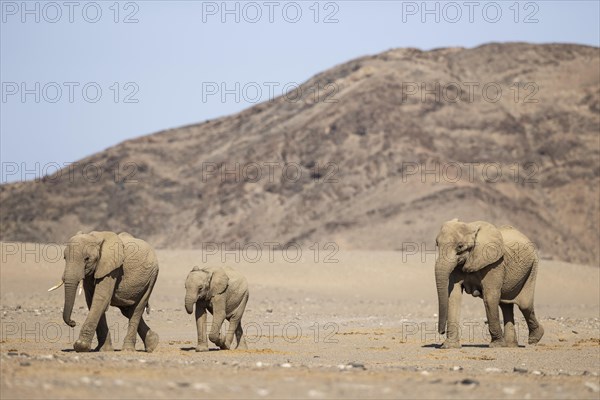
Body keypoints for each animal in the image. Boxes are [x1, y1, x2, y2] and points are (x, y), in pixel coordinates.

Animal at [434, 220, 548, 348]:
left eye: (460, 246)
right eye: (437, 244)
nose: (441, 332)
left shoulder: (494, 263)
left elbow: (490, 297)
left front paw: (497, 345)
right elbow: (454, 296)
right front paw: (449, 346)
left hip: (533, 267)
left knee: (524, 304)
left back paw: (534, 339)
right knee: (505, 305)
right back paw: (510, 345)